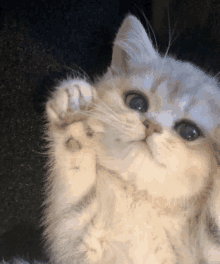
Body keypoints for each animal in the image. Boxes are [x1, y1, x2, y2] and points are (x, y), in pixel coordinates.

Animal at [43, 14, 220, 264]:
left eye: (189, 132)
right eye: (136, 102)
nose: (152, 125)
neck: (140, 198)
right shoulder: (77, 240)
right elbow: (75, 185)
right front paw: (73, 106)